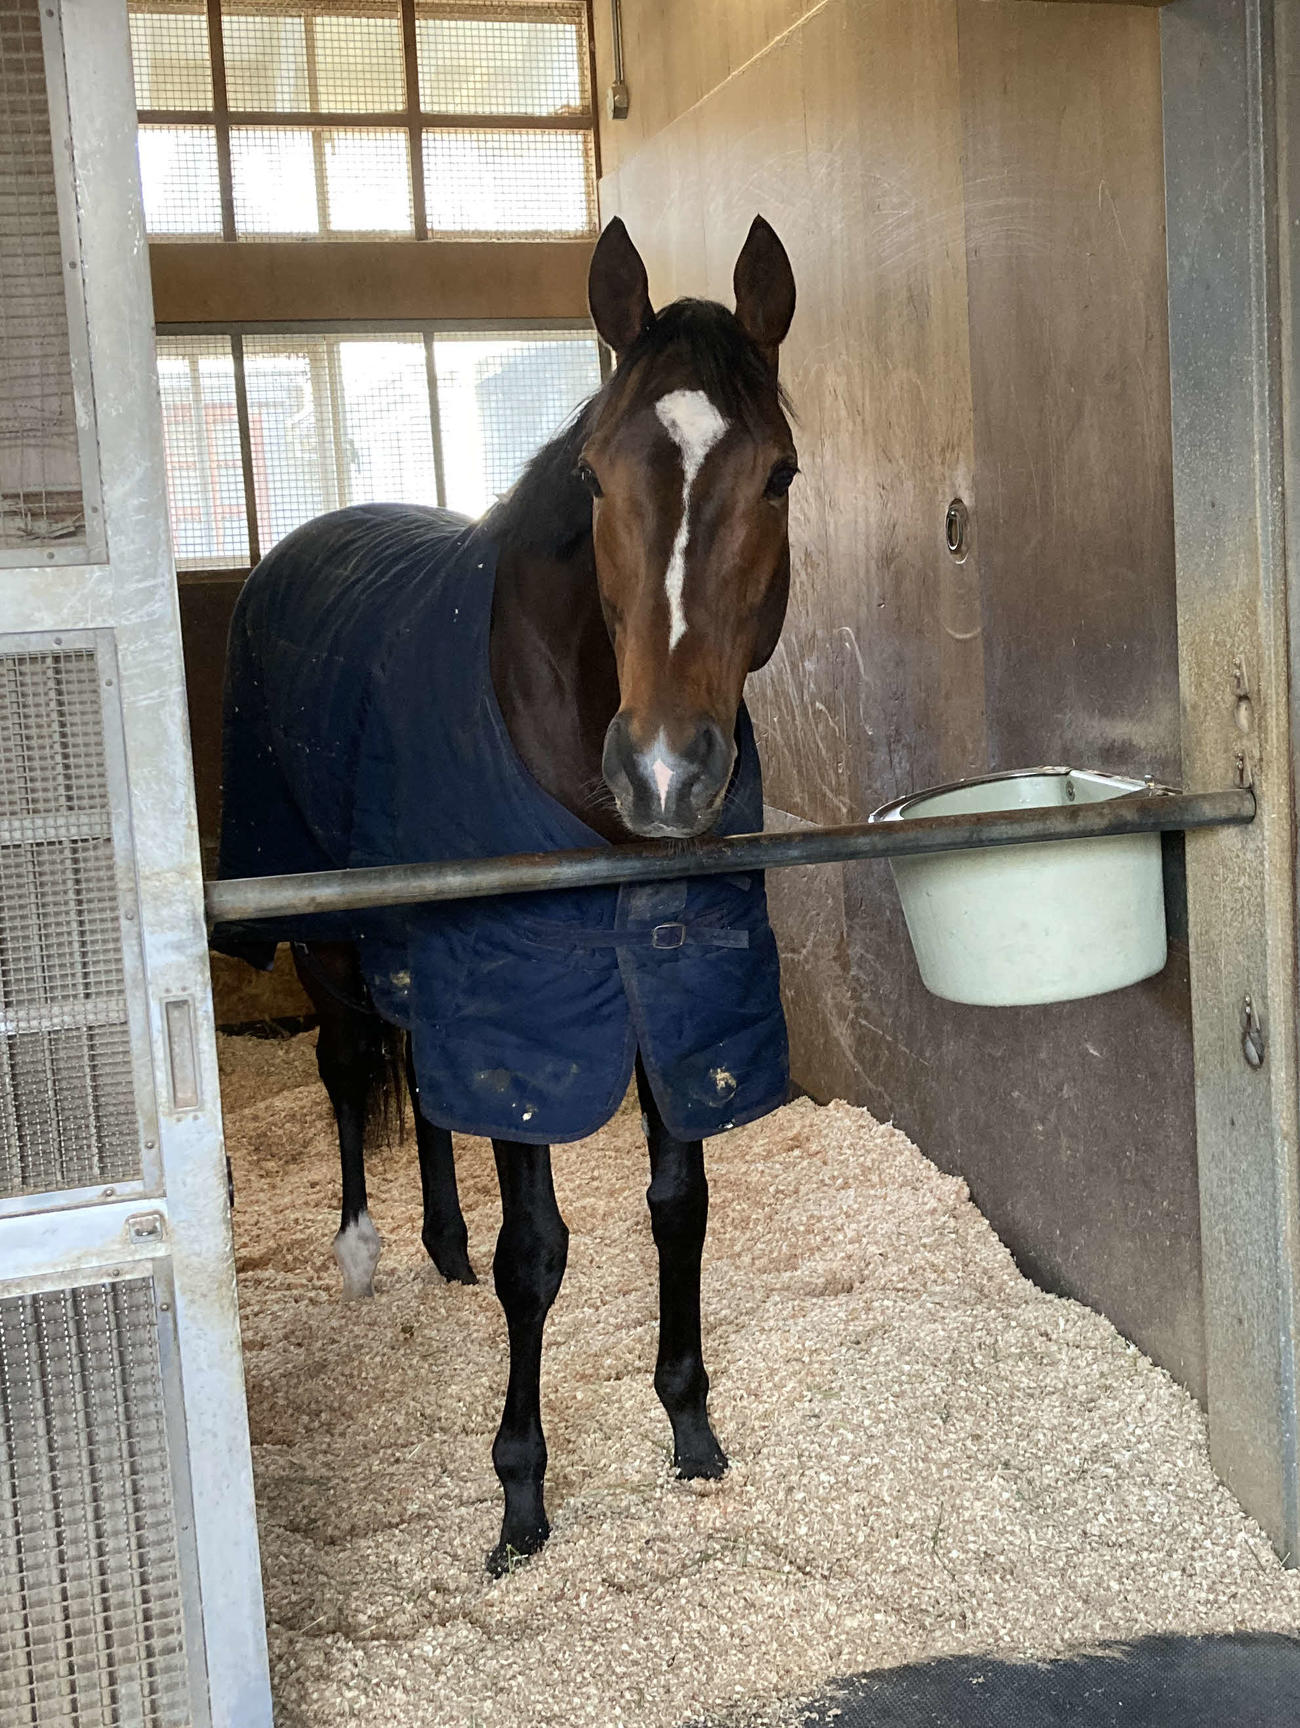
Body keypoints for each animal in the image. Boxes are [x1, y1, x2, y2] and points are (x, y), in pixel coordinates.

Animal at [213, 215, 798, 1575]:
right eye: (591, 478)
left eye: (780, 477)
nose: (665, 773)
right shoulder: (530, 1003)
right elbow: (536, 1252)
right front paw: (520, 1498)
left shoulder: (668, 992)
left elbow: (678, 1209)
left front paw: (690, 1427)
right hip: (328, 929)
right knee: (344, 1064)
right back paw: (364, 1249)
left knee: (422, 1073)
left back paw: (438, 1243)